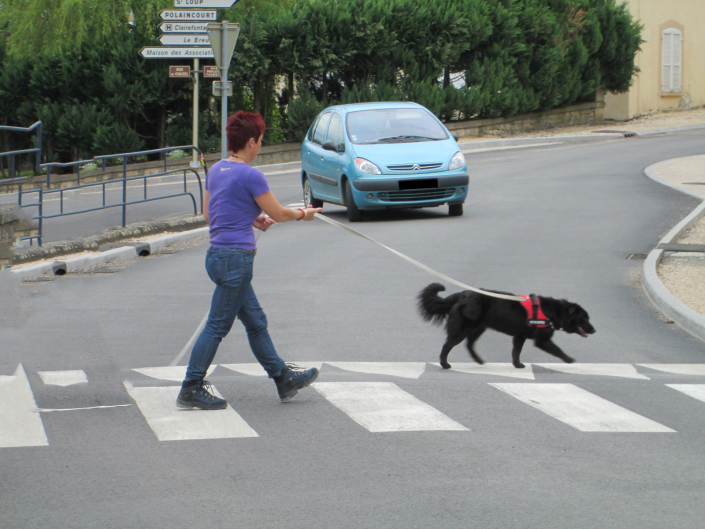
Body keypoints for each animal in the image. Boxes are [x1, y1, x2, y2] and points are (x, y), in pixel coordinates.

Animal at [418, 284, 592, 368]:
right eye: (584, 319)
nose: (594, 329)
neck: (554, 311)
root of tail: (461, 295)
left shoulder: (520, 336)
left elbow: (516, 352)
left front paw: (518, 365)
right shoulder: (542, 340)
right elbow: (558, 350)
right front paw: (569, 360)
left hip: (477, 328)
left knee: (469, 344)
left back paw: (479, 361)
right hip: (463, 329)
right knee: (447, 345)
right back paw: (445, 364)